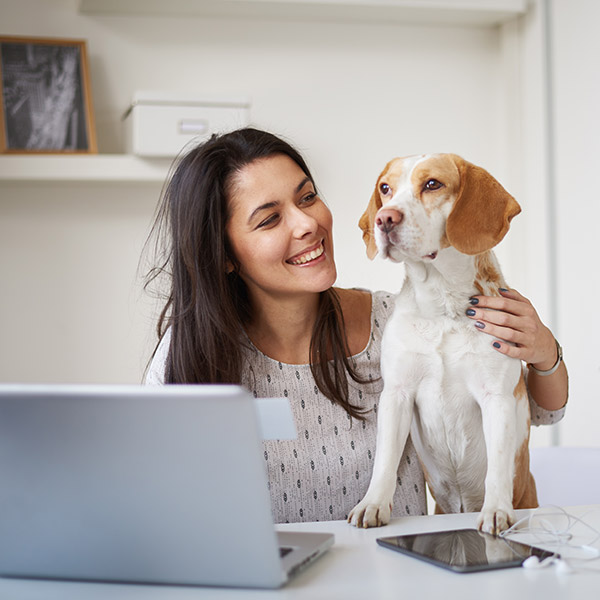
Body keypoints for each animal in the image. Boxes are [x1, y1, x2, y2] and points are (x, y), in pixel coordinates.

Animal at [346, 154, 540, 536]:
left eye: (432, 184)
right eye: (385, 188)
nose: (383, 218)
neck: (443, 306)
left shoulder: (496, 397)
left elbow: (498, 465)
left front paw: (497, 510)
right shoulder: (397, 394)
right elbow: (384, 460)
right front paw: (372, 504)